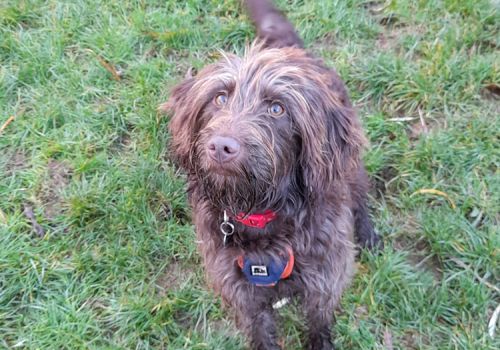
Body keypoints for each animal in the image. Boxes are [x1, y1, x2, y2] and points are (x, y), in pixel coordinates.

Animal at [162, 1, 380, 348]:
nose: (221, 146)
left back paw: (368, 233)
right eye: (219, 98)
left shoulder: (325, 278)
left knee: (359, 197)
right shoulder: (240, 290)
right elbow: (259, 330)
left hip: (350, 167)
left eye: (277, 108)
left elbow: (320, 319)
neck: (261, 213)